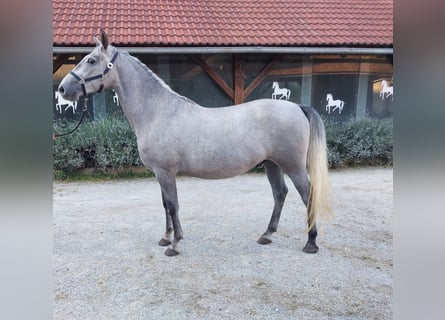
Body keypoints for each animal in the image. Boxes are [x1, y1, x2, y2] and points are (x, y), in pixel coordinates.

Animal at [58, 29, 330, 255]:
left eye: (91, 60)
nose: (62, 89)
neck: (157, 111)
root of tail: (297, 106)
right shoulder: (159, 173)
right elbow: (165, 204)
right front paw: (166, 238)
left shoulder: (166, 172)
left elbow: (173, 205)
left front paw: (175, 244)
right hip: (272, 164)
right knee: (280, 193)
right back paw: (267, 234)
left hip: (293, 166)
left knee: (307, 194)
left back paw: (311, 242)